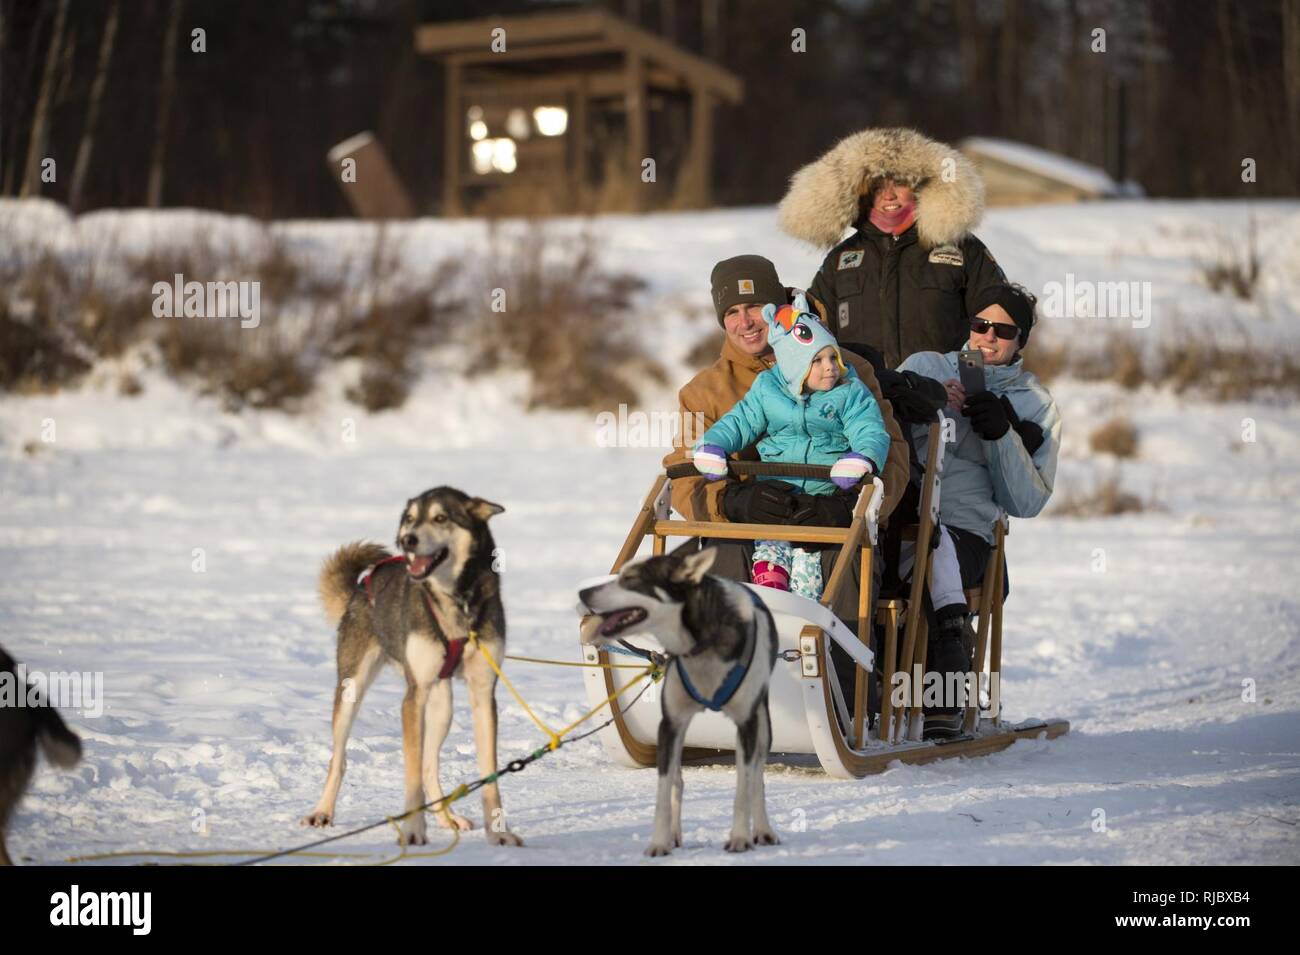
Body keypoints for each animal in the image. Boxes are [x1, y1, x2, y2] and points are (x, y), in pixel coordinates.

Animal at [304, 488, 522, 847]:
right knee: (339, 759)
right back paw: (322, 811)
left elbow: (488, 773)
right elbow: (411, 776)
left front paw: (500, 833)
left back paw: (448, 819)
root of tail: (361, 586)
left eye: (440, 517)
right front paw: (413, 831)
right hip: (352, 690)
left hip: (442, 707)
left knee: (430, 766)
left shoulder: (483, 693)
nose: (407, 539)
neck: (455, 603)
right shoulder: (413, 696)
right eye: (409, 518)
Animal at [582, 545, 780, 857]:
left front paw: (739, 837)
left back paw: (762, 830)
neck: (701, 645)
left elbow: (744, 787)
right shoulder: (670, 723)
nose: (583, 593)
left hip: (761, 725)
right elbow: (664, 791)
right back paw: (675, 834)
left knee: (756, 778)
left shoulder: (746, 724)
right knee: (678, 778)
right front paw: (659, 842)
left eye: (632, 579)